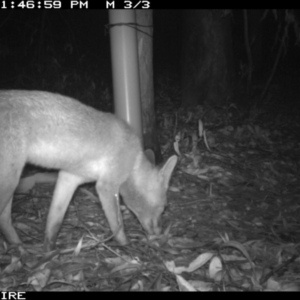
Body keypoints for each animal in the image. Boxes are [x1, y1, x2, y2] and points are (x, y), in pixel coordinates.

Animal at [0, 90, 178, 252]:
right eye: (163, 207)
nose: (160, 234)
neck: (133, 160)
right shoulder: (105, 186)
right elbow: (118, 225)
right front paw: (126, 246)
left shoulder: (69, 177)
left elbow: (54, 223)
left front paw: (49, 251)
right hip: (10, 183)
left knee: (5, 220)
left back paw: (19, 247)